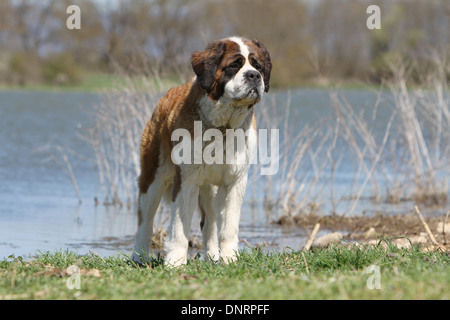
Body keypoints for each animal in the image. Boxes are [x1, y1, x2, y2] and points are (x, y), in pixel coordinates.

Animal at [130, 35, 270, 268]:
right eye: (234, 65)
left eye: (257, 65)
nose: (254, 75)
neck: (223, 127)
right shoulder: (186, 180)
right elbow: (180, 226)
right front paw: (175, 261)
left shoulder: (235, 181)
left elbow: (229, 225)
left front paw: (229, 259)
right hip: (153, 177)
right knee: (146, 219)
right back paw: (138, 256)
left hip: (210, 188)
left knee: (210, 222)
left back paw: (213, 256)